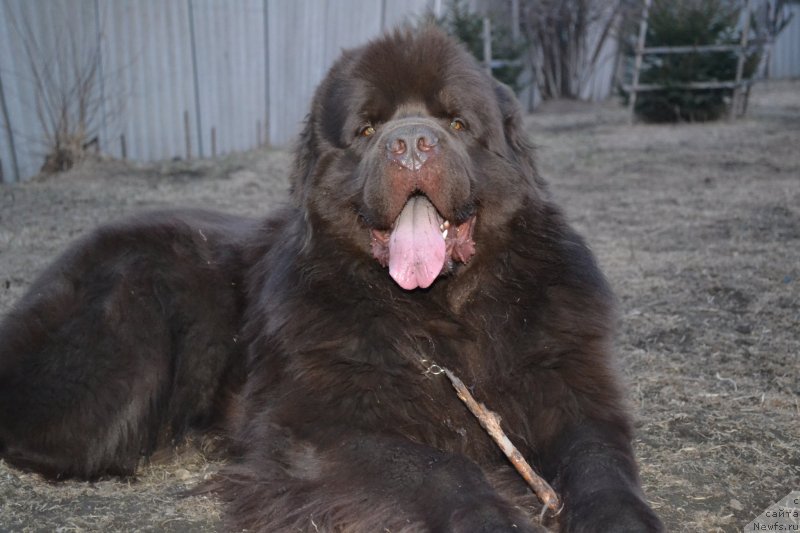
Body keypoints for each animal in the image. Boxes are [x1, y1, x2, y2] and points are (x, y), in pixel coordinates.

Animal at [0, 29, 664, 532]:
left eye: (455, 122)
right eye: (368, 130)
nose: (411, 142)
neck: (443, 313)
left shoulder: (570, 385)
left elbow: (600, 459)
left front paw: (622, 519)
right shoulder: (317, 426)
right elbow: (439, 467)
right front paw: (491, 519)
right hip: (127, 334)